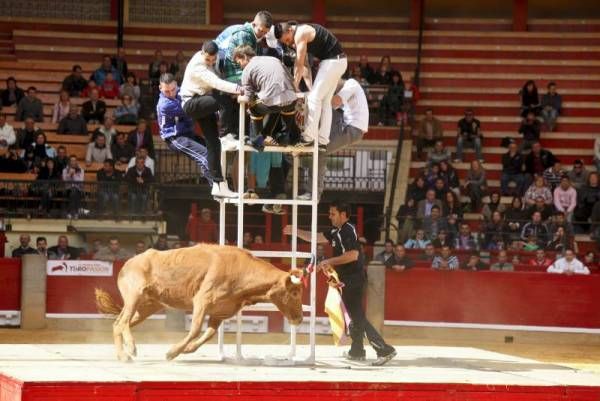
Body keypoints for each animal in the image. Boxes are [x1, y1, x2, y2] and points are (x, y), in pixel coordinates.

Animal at [97, 242, 304, 360]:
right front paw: (172, 352)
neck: (242, 273)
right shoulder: (202, 301)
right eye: (294, 292)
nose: (300, 319)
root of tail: (128, 263)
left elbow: (209, 333)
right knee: (122, 322)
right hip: (135, 295)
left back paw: (122, 355)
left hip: (147, 306)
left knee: (118, 324)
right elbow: (196, 329)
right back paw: (130, 349)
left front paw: (187, 349)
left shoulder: (220, 312)